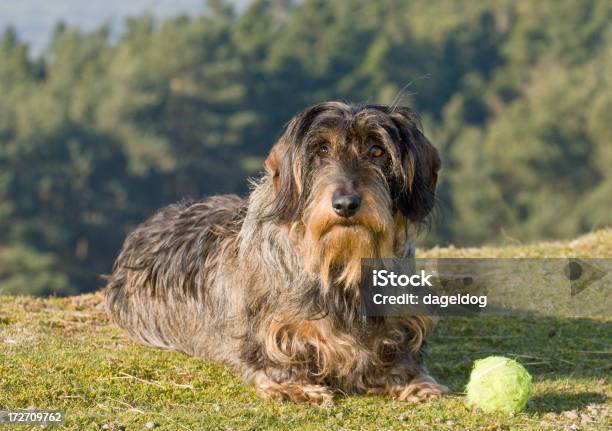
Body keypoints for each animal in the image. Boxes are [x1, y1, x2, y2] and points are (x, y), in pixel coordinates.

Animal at [105, 101, 444, 404]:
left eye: (377, 150)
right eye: (321, 150)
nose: (346, 204)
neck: (338, 265)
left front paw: (414, 383)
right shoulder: (269, 330)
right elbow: (277, 356)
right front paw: (294, 387)